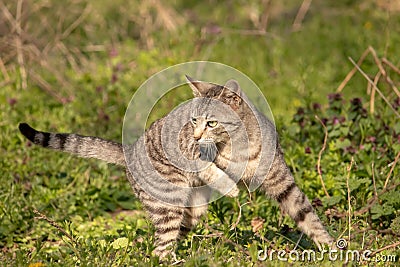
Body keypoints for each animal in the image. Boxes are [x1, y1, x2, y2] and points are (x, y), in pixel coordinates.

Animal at [18, 76, 334, 260]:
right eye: (193, 121)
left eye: (211, 122)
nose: (195, 134)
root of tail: (128, 150)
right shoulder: (191, 153)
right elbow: (210, 168)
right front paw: (231, 189)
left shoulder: (281, 181)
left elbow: (307, 216)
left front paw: (333, 247)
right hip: (168, 203)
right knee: (160, 250)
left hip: (192, 209)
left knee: (170, 238)